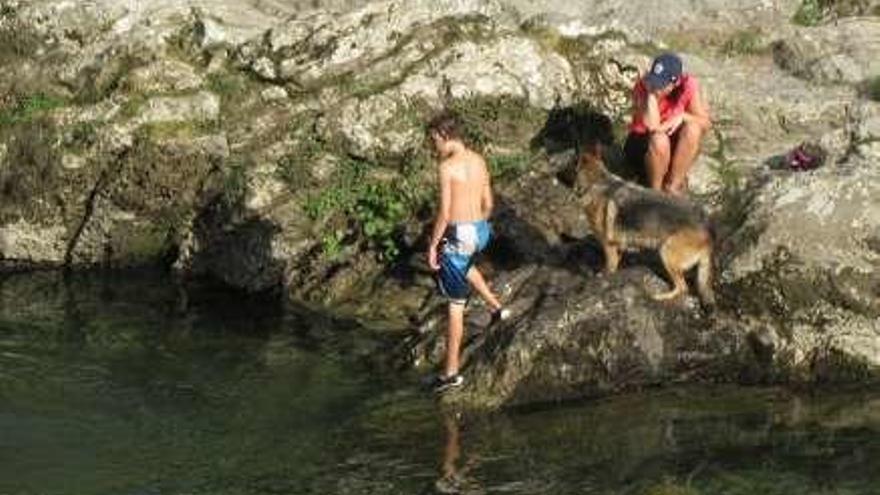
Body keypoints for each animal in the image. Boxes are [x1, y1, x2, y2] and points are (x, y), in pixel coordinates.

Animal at [576, 143, 716, 306]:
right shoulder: (617, 246)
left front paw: (603, 278)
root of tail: (707, 232)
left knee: (683, 287)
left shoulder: (608, 246)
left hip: (666, 253)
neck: (598, 181)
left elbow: (609, 267)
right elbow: (616, 262)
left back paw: (661, 297)